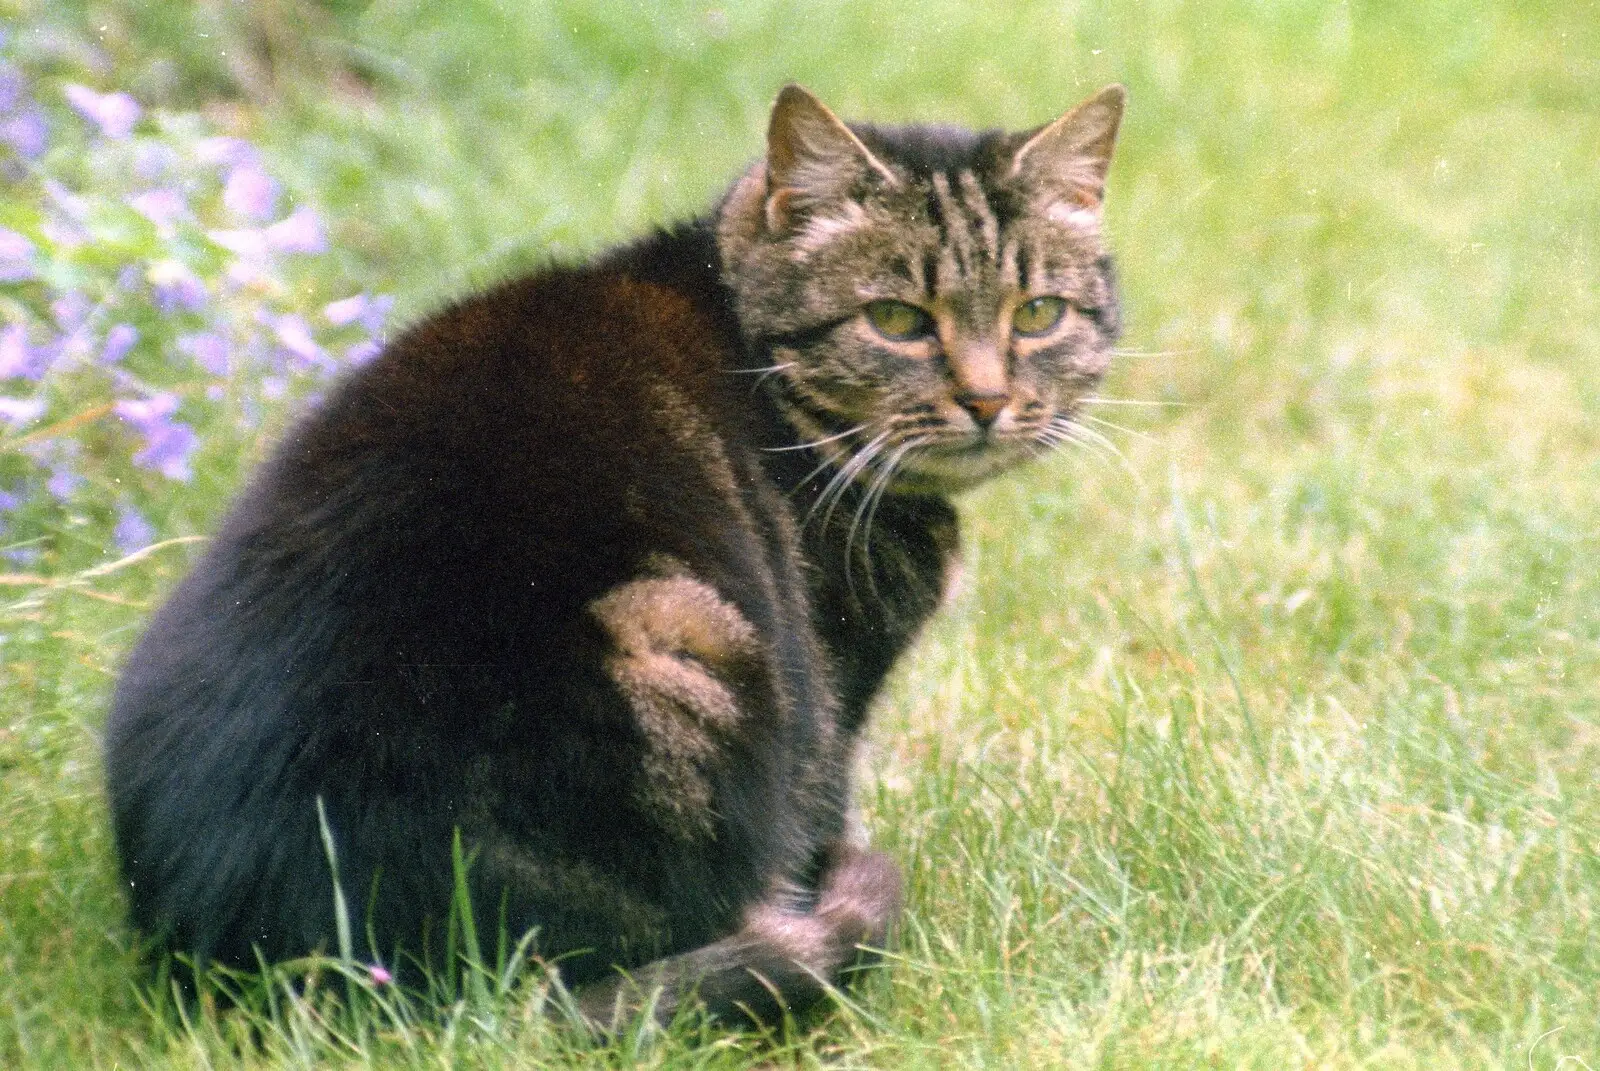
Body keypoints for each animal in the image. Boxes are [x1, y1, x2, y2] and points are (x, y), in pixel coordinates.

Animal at [103, 83, 1126, 1024]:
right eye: (899, 320)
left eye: (1038, 313)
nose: (989, 400)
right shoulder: (833, 689)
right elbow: (824, 811)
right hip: (695, 642)